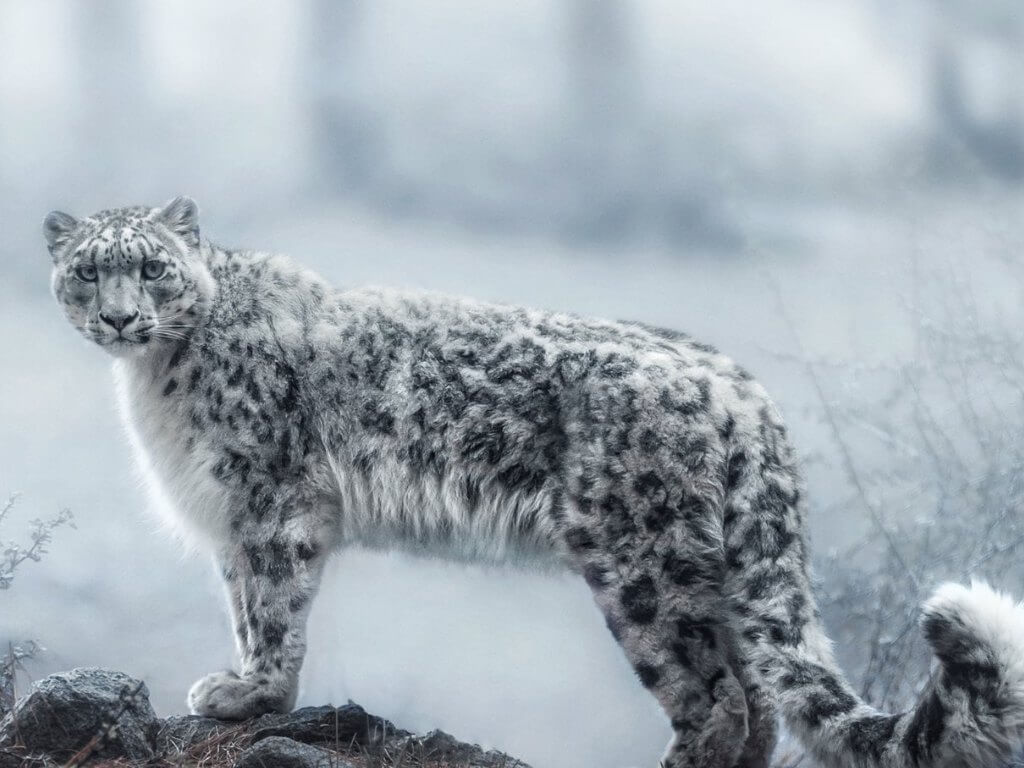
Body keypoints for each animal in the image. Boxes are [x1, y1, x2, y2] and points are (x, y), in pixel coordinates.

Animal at [44, 197, 1024, 768]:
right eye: (89, 269)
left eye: (153, 266)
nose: (121, 316)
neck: (157, 383)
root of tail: (743, 390)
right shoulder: (232, 516)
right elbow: (246, 604)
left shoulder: (266, 504)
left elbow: (271, 610)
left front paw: (249, 697)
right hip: (713, 570)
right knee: (758, 697)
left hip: (641, 563)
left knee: (716, 699)